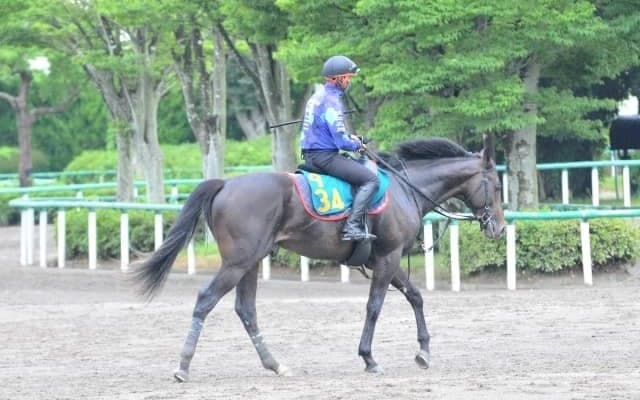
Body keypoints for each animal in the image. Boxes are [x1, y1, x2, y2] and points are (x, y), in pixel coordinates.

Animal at [133, 137, 506, 382]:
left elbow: (415, 296)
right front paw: (369, 358)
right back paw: (183, 366)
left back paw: (275, 364)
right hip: (237, 264)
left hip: (250, 263)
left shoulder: (386, 259)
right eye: (498, 186)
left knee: (246, 310)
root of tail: (225, 184)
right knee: (206, 300)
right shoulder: (387, 258)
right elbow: (375, 306)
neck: (405, 189)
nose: (499, 228)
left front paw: (424, 351)